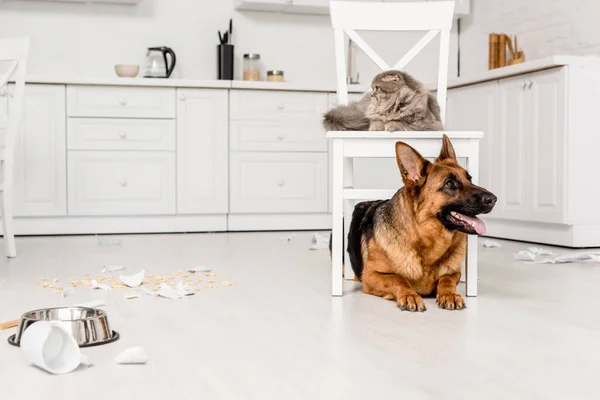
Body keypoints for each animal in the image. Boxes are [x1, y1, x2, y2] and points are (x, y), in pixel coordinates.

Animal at [338, 136, 496, 310]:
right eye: (449, 183)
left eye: (470, 179)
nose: (494, 199)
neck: (425, 240)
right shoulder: (370, 275)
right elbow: (397, 278)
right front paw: (410, 295)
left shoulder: (453, 273)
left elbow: (446, 279)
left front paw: (449, 294)